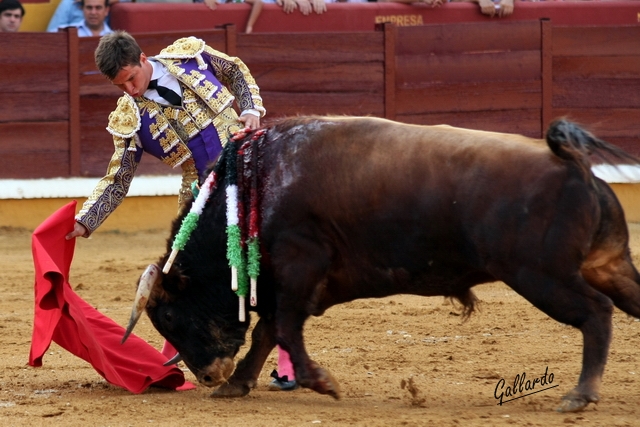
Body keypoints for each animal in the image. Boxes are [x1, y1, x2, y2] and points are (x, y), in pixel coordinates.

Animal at [122, 115, 640, 412]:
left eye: (170, 316)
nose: (209, 375)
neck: (255, 186)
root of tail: (574, 164)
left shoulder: (298, 264)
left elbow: (283, 327)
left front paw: (322, 383)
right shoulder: (283, 281)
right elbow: (268, 331)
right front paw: (238, 385)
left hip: (540, 276)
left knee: (596, 312)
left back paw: (580, 395)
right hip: (607, 264)